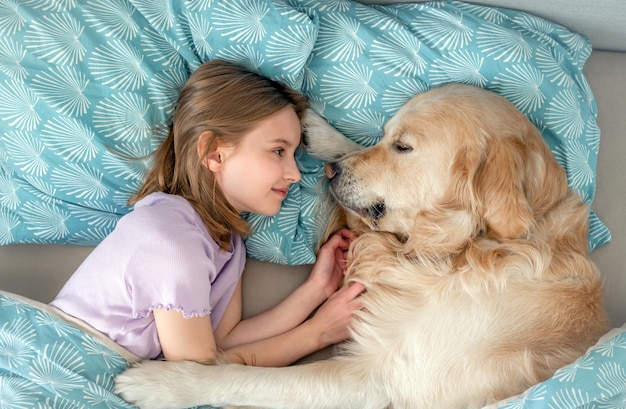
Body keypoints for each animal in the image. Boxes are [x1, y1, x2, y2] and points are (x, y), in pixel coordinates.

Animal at [114, 83, 608, 408]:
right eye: (387, 135)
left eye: (404, 147)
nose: (331, 173)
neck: (464, 250)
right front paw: (320, 130)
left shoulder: (383, 376)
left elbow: (249, 379)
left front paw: (167, 383)